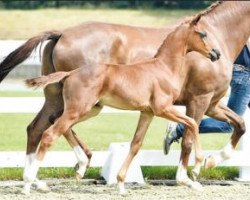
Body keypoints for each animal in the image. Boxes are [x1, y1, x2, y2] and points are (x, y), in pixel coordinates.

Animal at [0, 0, 249, 193]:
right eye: (202, 35)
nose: (215, 54)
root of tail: (62, 33)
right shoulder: (199, 99)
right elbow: (190, 134)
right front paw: (191, 175)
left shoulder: (212, 104)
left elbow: (239, 124)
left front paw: (212, 161)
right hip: (80, 104)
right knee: (51, 128)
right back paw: (73, 165)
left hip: (62, 99)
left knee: (37, 128)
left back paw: (40, 180)